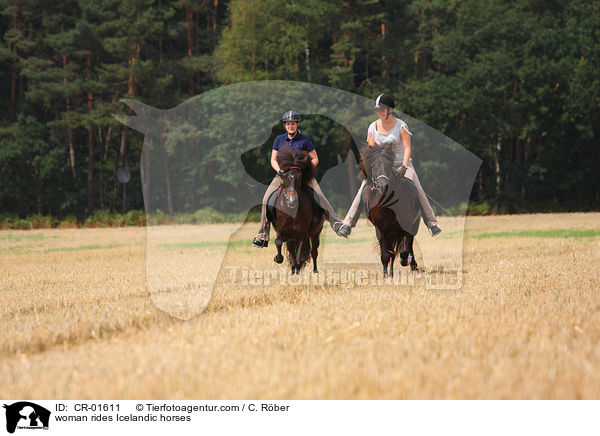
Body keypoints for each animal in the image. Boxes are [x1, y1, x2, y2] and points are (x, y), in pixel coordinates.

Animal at [272, 146, 326, 276]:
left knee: (313, 251)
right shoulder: (282, 231)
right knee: (292, 249)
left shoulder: (302, 233)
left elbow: (300, 252)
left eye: (299, 177)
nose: (291, 200)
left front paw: (298, 267)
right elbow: (278, 243)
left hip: (316, 233)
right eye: (285, 177)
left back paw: (314, 270)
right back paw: (293, 269)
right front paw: (278, 259)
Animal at [360, 145, 422, 278]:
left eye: (389, 164)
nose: (383, 187)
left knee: (409, 246)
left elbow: (404, 251)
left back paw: (413, 266)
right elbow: (386, 254)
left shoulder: (406, 225)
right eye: (373, 165)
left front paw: (405, 262)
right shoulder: (381, 229)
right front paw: (386, 275)